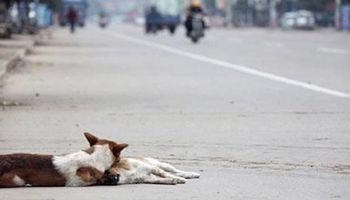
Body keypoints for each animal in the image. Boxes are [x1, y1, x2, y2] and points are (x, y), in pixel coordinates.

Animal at [0, 133, 128, 188]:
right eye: (119, 159)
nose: (121, 160)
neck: (94, 156)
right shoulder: (78, 182)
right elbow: (96, 180)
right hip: (17, 180)